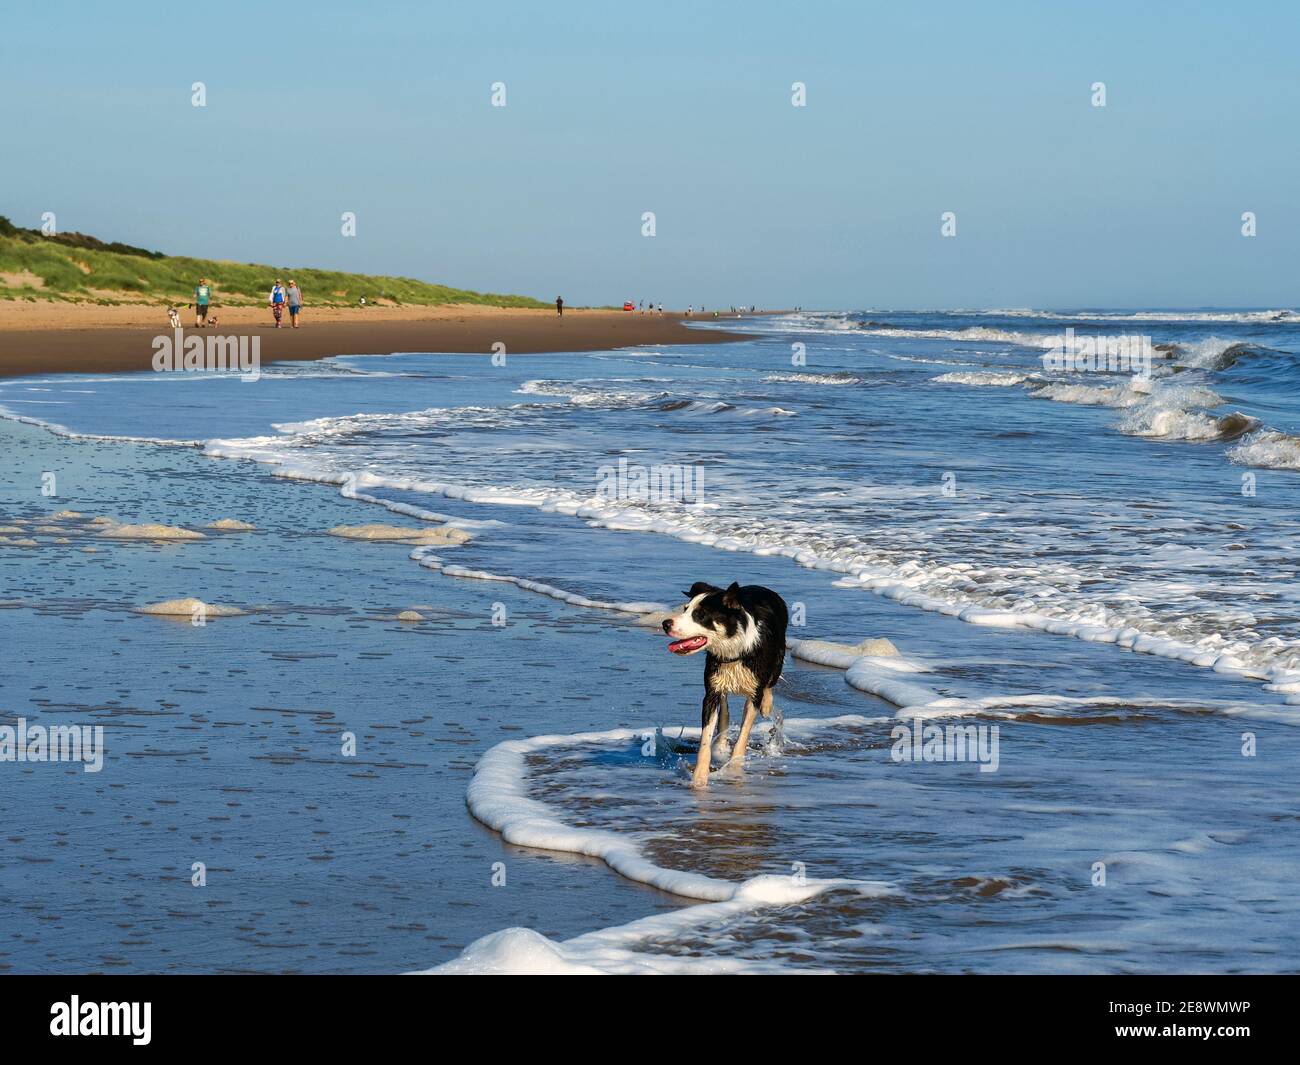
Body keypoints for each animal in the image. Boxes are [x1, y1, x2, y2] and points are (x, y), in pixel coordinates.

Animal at [665, 579, 785, 785]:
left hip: (778, 657)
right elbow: (706, 736)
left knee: (769, 684)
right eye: (685, 609)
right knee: (724, 707)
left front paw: (734, 768)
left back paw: (766, 705)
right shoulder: (711, 690)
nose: (665, 624)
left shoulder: (754, 691)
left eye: (700, 615)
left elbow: (744, 734)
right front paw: (699, 778)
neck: (735, 651)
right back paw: (720, 745)